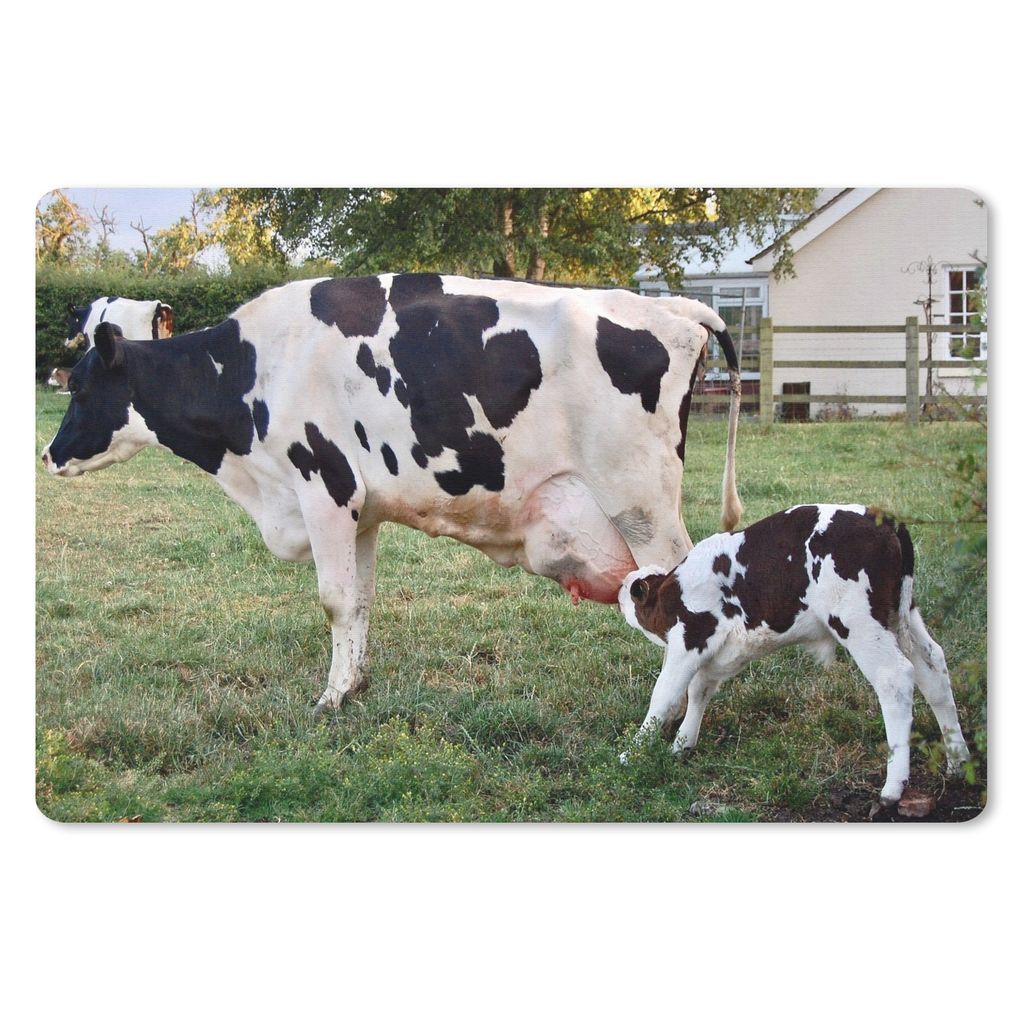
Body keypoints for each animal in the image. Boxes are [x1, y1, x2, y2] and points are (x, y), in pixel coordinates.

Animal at [41, 273, 742, 713]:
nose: (47, 455)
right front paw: (353, 685)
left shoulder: (322, 487)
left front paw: (328, 699)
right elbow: (360, 601)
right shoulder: (361, 511)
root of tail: (673, 308)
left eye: (80, 388)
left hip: (640, 505)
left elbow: (332, 600)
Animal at [618, 504, 971, 805]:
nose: (621, 584)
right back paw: (958, 762)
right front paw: (682, 744)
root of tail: (881, 518)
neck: (673, 591)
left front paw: (633, 751)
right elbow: (698, 691)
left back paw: (893, 787)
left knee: (895, 677)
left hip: (860, 624)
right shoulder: (718, 653)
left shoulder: (690, 640)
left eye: (636, 591)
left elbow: (665, 695)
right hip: (903, 616)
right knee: (933, 668)